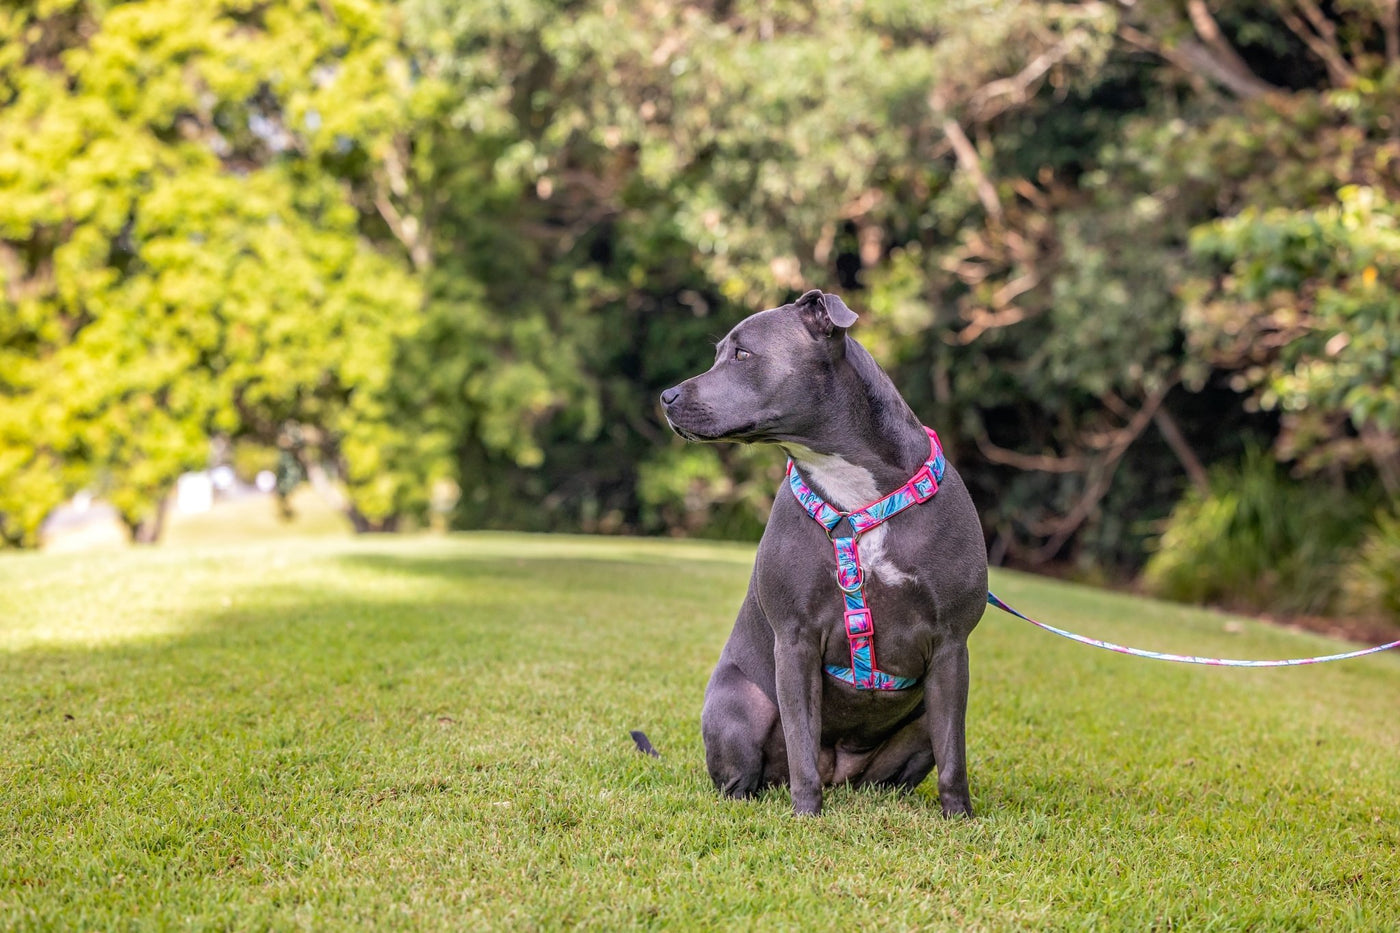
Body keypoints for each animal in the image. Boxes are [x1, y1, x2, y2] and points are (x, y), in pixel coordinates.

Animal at [660, 287, 991, 812]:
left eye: (742, 354)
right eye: (719, 354)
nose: (666, 396)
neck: (853, 491)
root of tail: (843, 770)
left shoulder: (950, 645)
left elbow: (953, 757)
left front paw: (959, 817)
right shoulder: (795, 640)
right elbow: (801, 744)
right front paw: (806, 815)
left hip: (916, 724)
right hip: (737, 705)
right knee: (749, 776)